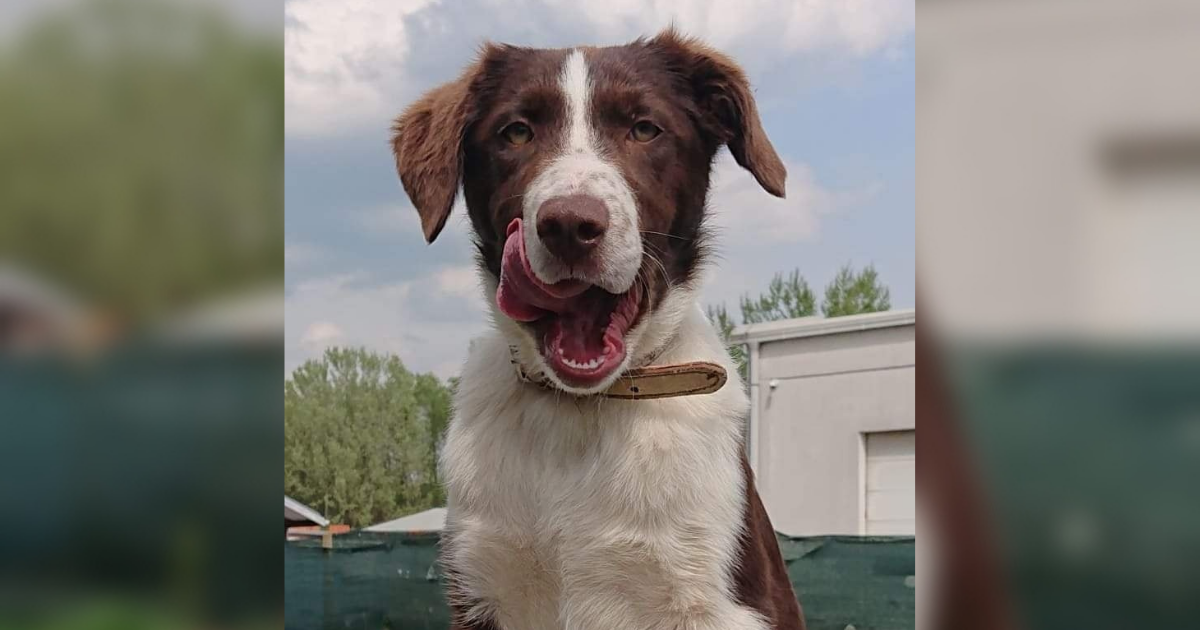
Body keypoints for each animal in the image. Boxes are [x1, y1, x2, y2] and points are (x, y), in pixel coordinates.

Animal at [393, 28, 806, 628]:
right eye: (516, 132)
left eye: (644, 128)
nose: (569, 225)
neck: (582, 413)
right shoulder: (481, 588)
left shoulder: (719, 600)